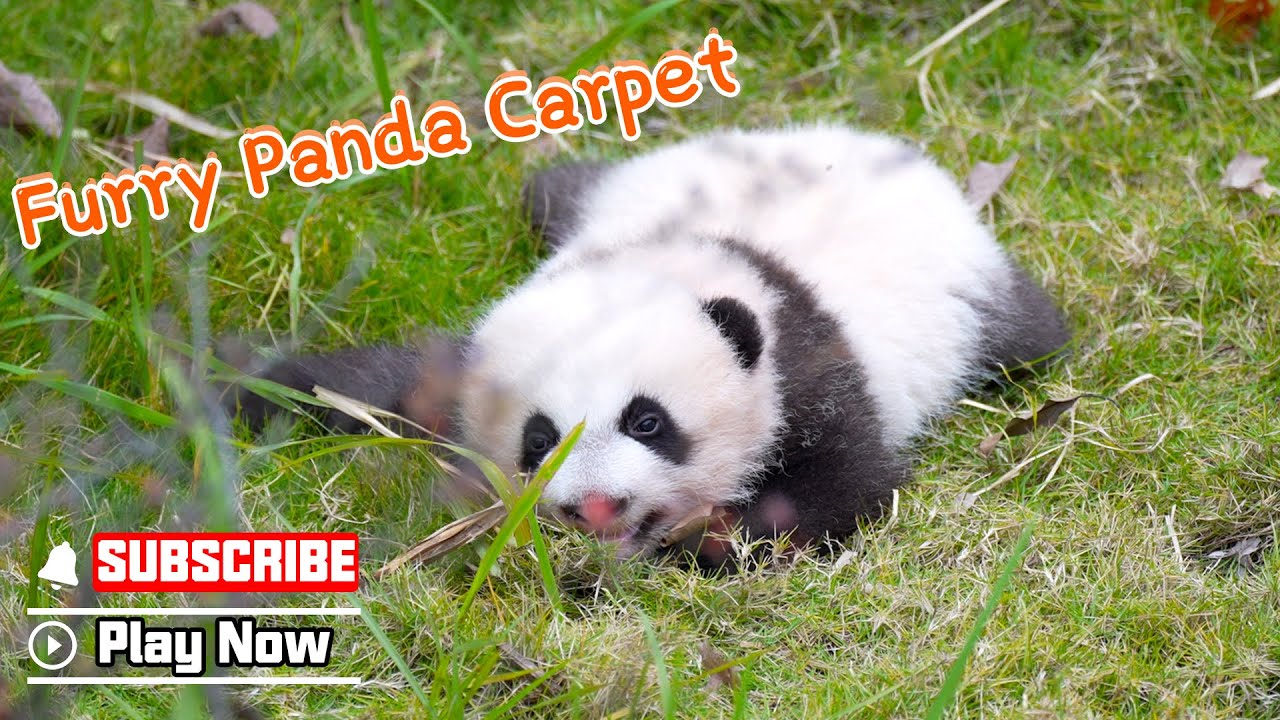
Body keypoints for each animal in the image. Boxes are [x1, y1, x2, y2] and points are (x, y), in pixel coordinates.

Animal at [227, 125, 1070, 568]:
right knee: (558, 187)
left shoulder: (804, 359)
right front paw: (240, 390)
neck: (657, 262)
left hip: (974, 298)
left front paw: (703, 540)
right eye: (538, 440)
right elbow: (365, 386)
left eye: (648, 421)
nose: (597, 507)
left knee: (1029, 336)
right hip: (616, 184)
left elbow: (843, 483)